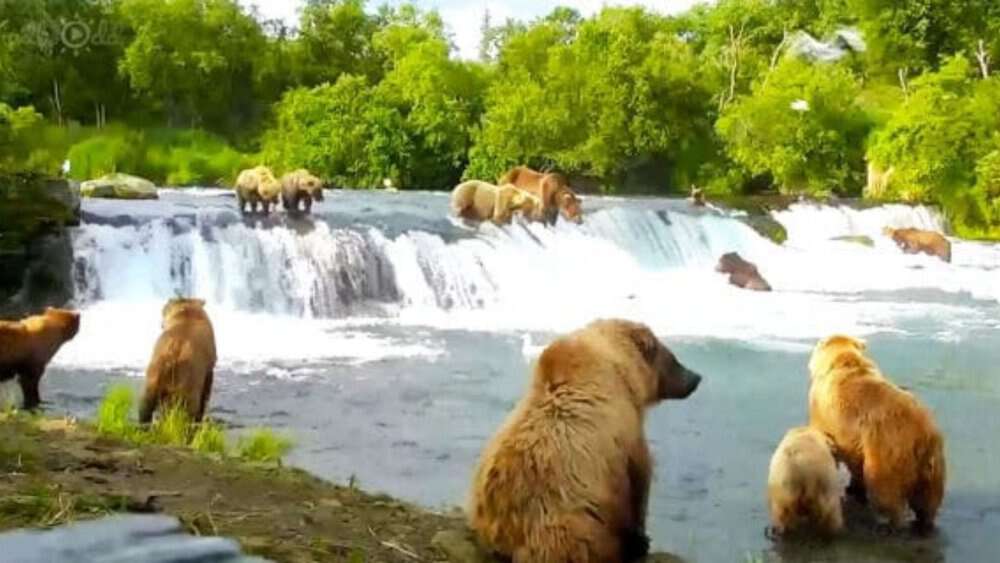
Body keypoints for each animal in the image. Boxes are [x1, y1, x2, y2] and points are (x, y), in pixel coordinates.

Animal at [467, 318, 703, 563]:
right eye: (675, 359)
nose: (696, 377)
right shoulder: (624, 432)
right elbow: (640, 478)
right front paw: (641, 541)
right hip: (567, 525)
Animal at [808, 334, 946, 534]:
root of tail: (923, 434)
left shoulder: (824, 414)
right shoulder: (855, 440)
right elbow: (855, 461)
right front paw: (853, 487)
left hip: (887, 449)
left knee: (884, 488)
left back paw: (887, 523)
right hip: (932, 464)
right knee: (928, 499)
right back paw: (923, 523)